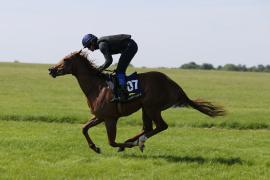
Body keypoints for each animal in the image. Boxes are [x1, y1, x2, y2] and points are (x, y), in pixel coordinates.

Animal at [48, 50, 226, 153]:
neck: (97, 87)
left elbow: (112, 142)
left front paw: (124, 146)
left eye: (65, 60)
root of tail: (174, 85)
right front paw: (95, 147)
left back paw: (138, 142)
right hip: (145, 108)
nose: (51, 69)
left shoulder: (110, 118)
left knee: (161, 126)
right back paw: (135, 141)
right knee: (148, 127)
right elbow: (84, 128)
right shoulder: (100, 116)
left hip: (152, 107)